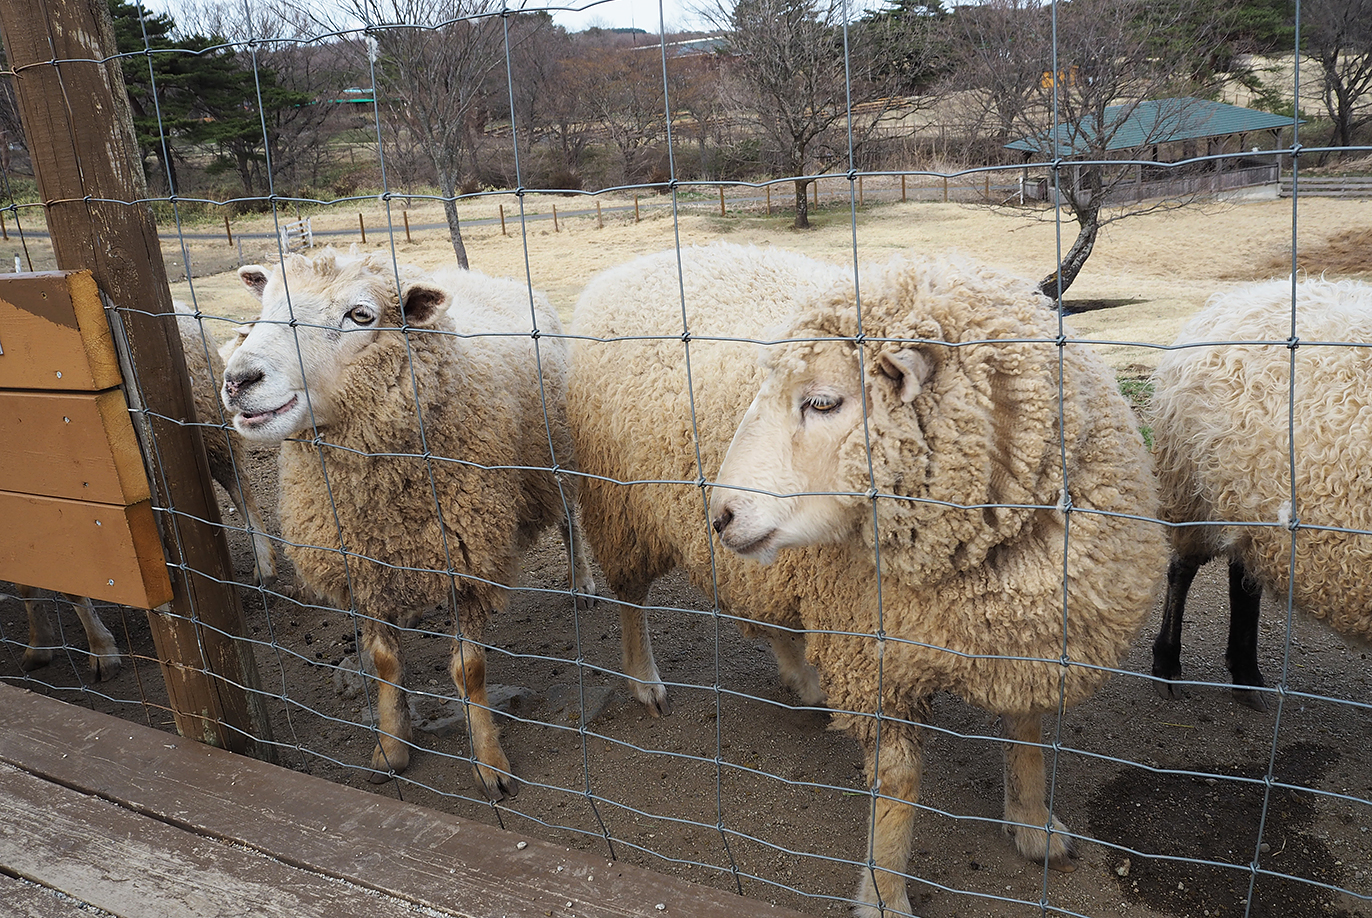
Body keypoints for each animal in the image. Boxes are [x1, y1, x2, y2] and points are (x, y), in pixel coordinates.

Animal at [223, 248, 664, 795]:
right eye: (264, 305)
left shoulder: (470, 560)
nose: (238, 380)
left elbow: (469, 670)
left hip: (554, 456)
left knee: (568, 522)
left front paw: (490, 762)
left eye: (360, 315)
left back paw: (581, 582)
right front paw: (392, 747)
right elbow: (386, 663)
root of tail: (478, 275)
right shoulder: (363, 564)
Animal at [570, 240, 1168, 911]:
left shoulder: (1030, 636)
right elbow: (899, 781)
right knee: (630, 598)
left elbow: (1029, 731)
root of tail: (623, 268)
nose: (719, 516)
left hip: (768, 565)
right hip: (620, 504)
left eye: (822, 402)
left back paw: (804, 680)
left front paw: (1033, 822)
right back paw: (644, 679)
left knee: (770, 610)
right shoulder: (873, 650)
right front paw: (884, 891)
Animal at [1146, 275, 1372, 708]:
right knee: (1182, 569)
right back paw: (1167, 664)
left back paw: (1246, 674)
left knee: (1243, 574)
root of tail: (1239, 296)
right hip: (1192, 487)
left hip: (1247, 493)